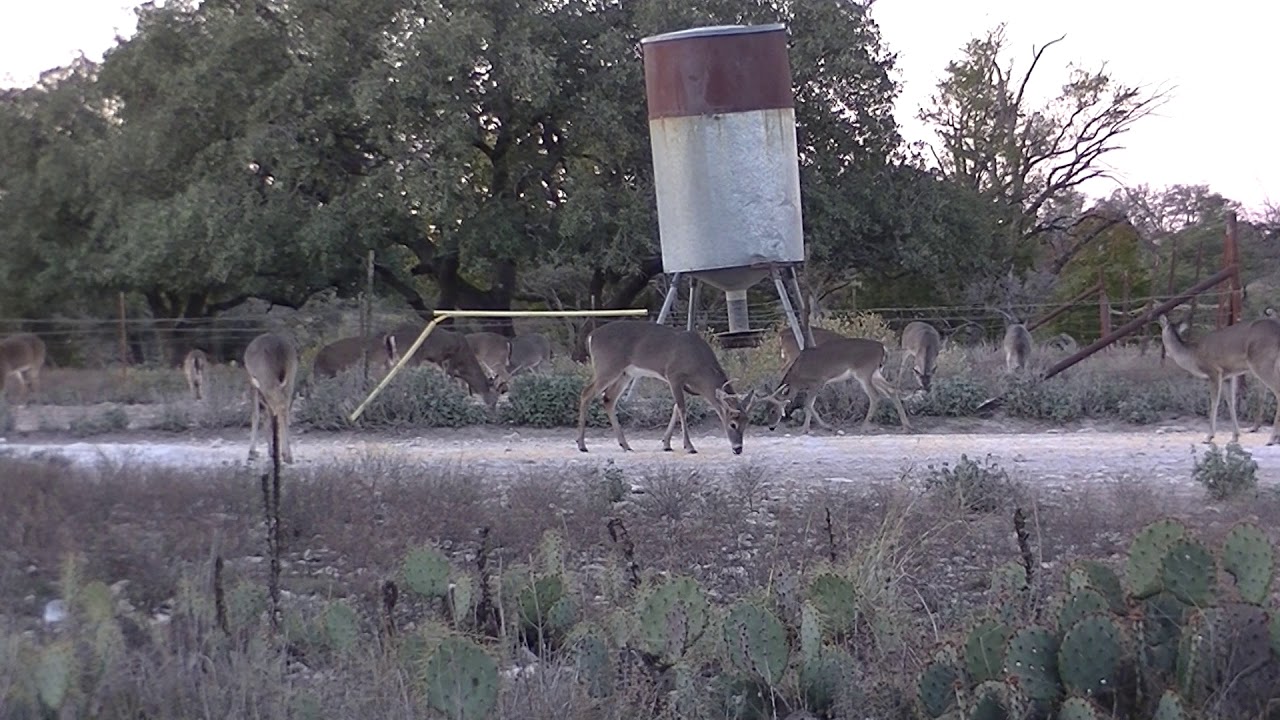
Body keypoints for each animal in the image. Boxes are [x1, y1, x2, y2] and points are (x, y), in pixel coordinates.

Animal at [244, 333, 299, 464]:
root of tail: (279, 348)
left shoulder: (253, 384)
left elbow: (256, 414)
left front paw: (252, 451)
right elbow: (268, 415)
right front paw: (270, 449)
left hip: (267, 379)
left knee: (279, 406)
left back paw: (285, 454)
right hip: (291, 376)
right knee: (284, 406)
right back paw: (287, 454)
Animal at [575, 320, 757, 455]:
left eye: (746, 422)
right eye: (732, 424)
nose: (738, 449)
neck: (699, 366)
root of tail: (591, 336)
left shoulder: (685, 385)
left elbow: (676, 408)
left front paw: (666, 444)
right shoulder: (674, 375)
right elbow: (682, 408)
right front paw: (689, 446)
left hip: (626, 373)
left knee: (608, 398)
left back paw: (625, 445)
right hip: (607, 367)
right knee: (586, 393)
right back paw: (582, 445)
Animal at [762, 336, 913, 435]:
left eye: (773, 410)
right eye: (767, 409)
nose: (771, 427)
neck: (798, 375)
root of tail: (883, 348)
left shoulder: (819, 381)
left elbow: (807, 403)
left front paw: (826, 426)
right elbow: (809, 405)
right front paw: (805, 429)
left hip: (864, 371)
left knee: (875, 396)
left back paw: (863, 428)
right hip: (875, 372)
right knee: (891, 390)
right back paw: (906, 426)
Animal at [1158, 313, 1280, 445]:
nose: (1166, 354)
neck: (1193, 356)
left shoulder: (1214, 371)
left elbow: (1214, 402)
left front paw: (1208, 437)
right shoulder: (1228, 375)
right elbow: (1230, 402)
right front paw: (1235, 436)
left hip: (1262, 362)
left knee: (1278, 392)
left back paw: (1272, 438)